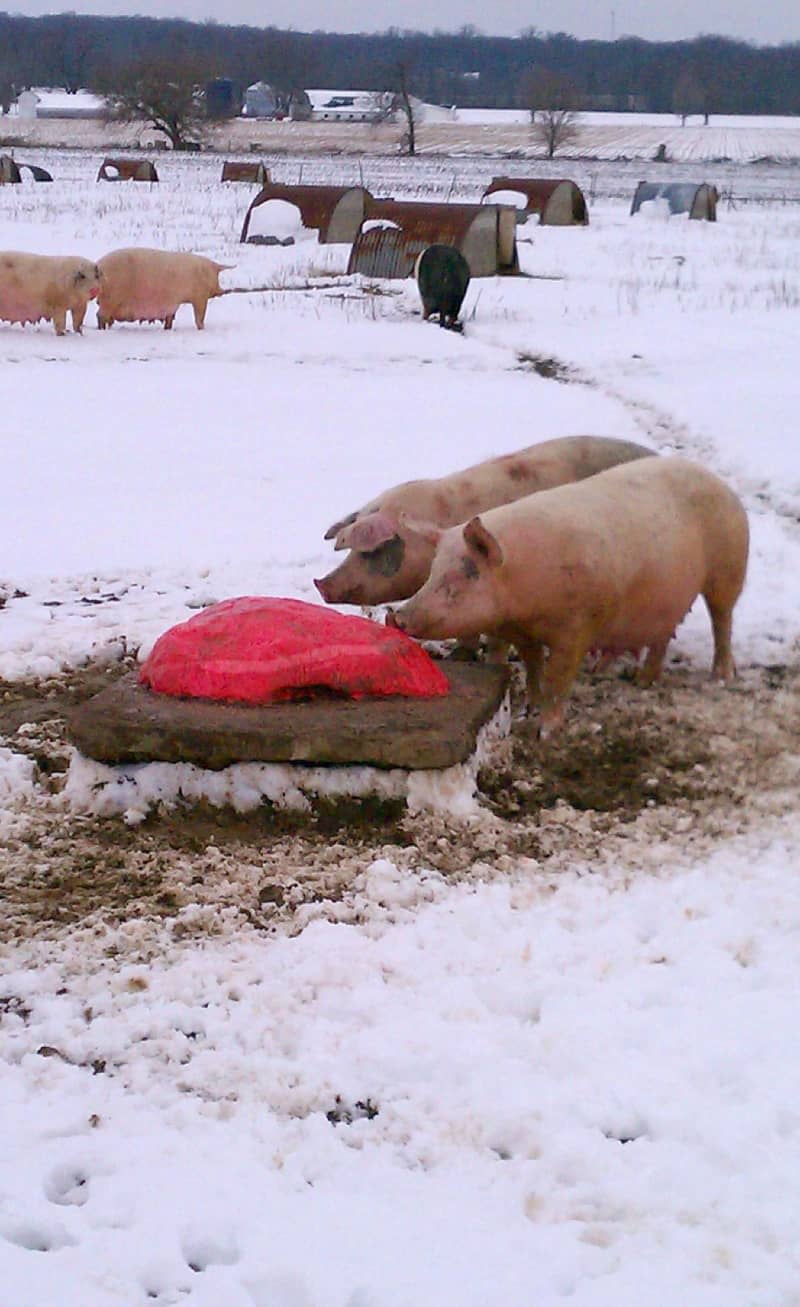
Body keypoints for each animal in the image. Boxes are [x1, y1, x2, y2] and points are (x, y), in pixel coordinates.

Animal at [389, 454, 747, 737]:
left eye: (464, 575)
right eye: (432, 572)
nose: (397, 615)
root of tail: (719, 481)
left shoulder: (576, 628)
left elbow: (558, 678)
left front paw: (547, 731)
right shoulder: (524, 633)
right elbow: (533, 668)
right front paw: (529, 710)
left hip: (729, 566)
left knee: (722, 619)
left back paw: (720, 677)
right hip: (666, 600)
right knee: (663, 636)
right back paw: (641, 681)